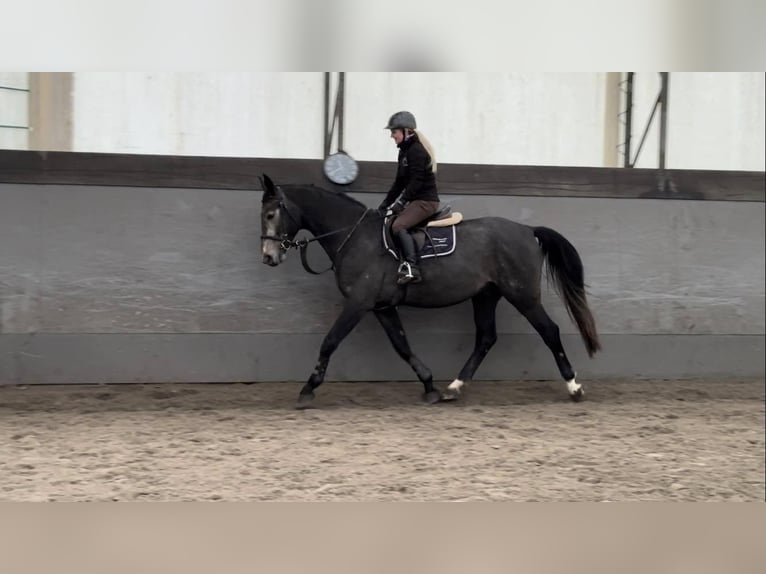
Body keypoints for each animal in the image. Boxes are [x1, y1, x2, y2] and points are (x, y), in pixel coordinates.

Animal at [258, 173, 601, 409]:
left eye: (271, 214)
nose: (268, 257)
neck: (354, 236)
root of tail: (528, 231)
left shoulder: (358, 303)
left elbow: (330, 342)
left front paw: (307, 389)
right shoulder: (382, 307)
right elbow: (402, 345)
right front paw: (429, 385)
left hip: (522, 295)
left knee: (549, 331)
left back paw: (574, 387)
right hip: (486, 295)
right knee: (486, 338)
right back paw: (453, 388)